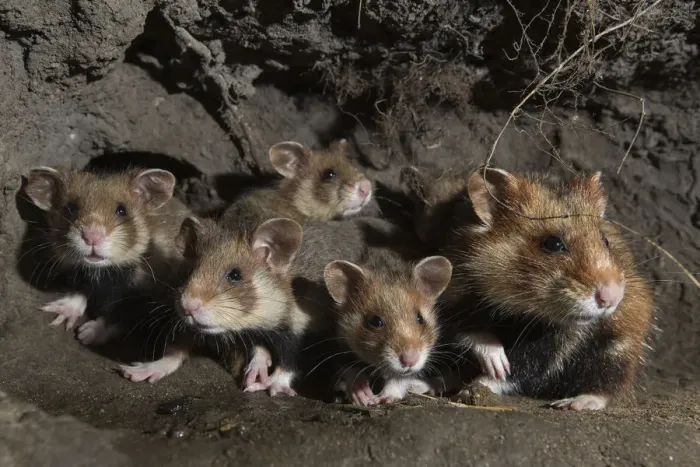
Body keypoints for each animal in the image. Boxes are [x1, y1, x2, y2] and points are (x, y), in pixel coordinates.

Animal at [23, 166, 189, 346]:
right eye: (71, 208)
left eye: (122, 210)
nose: (91, 237)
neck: (104, 273)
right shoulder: (83, 274)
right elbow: (80, 290)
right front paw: (61, 314)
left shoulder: (146, 298)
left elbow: (120, 315)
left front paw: (86, 334)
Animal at [323, 249, 453, 406]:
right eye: (375, 321)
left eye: (420, 318)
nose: (410, 361)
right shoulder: (339, 347)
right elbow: (349, 370)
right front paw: (361, 394)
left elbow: (399, 378)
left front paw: (383, 398)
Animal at [442, 168, 654, 411]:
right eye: (553, 244)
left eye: (605, 241)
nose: (613, 299)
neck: (518, 306)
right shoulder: (456, 298)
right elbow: (472, 333)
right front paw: (495, 361)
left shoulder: (557, 343)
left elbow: (521, 371)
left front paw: (474, 388)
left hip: (619, 347)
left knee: (609, 382)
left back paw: (573, 403)